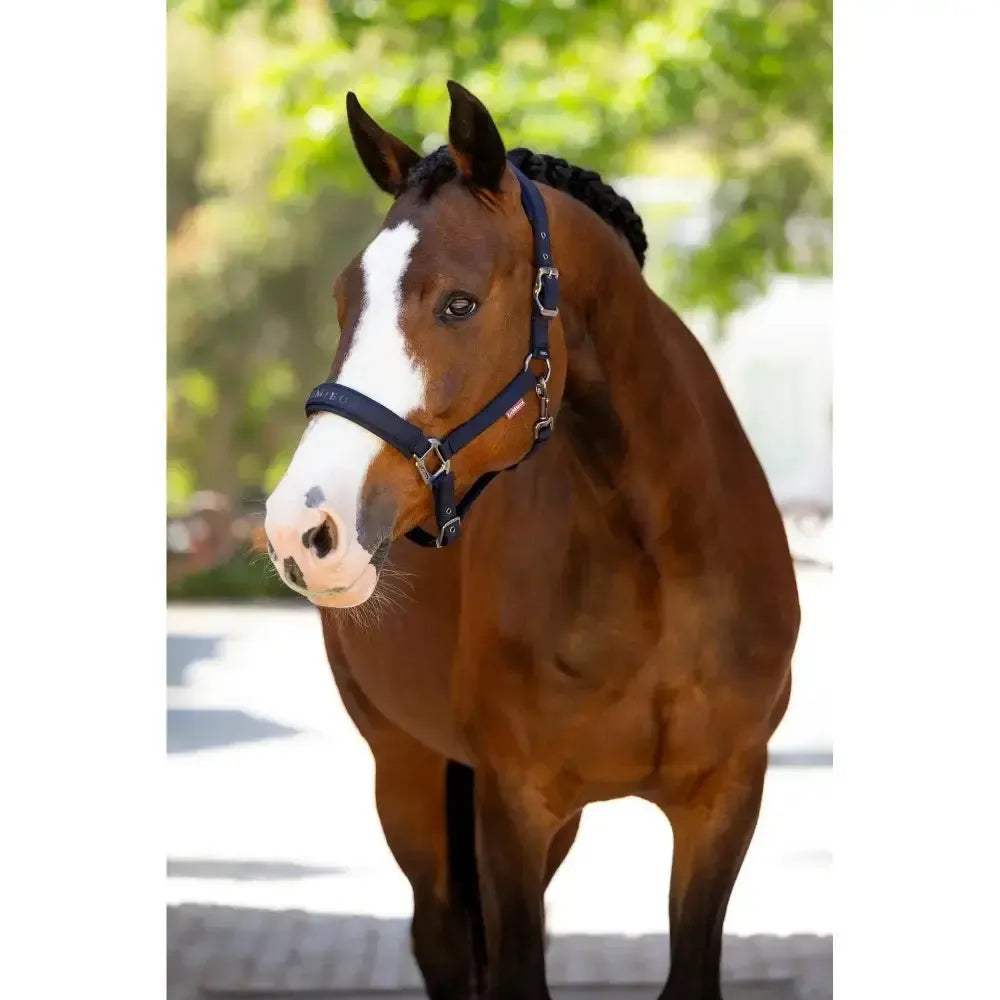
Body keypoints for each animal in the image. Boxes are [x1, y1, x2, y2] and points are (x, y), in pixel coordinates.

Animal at [263, 81, 800, 1000]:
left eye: (459, 302)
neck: (658, 571)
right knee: (442, 935)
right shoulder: (510, 805)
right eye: (342, 299)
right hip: (407, 770)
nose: (303, 526)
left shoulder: (724, 802)